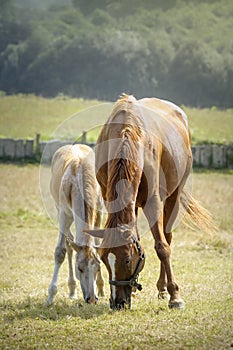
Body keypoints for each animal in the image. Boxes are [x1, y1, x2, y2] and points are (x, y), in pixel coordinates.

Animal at [46, 144, 104, 304]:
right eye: (80, 268)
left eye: (97, 268)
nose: (91, 298)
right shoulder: (63, 214)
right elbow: (60, 252)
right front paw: (51, 295)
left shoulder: (99, 212)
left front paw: (101, 286)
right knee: (68, 242)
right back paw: (72, 290)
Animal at [85, 94, 215, 310]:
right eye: (103, 259)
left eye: (127, 260)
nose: (117, 302)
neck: (128, 135)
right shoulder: (110, 196)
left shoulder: (153, 202)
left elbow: (162, 246)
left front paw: (175, 296)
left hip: (173, 197)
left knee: (168, 237)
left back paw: (163, 289)